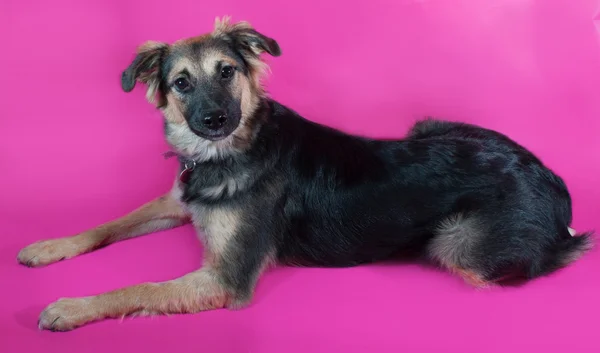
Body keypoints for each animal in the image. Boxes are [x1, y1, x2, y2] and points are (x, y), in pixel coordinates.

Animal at [16, 16, 592, 330]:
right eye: (181, 83)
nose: (215, 120)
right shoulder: (177, 201)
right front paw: (48, 247)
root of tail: (554, 183)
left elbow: (137, 289)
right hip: (428, 126)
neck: (233, 151)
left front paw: (71, 306)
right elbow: (108, 223)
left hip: (459, 245)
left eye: (227, 72)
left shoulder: (225, 278)